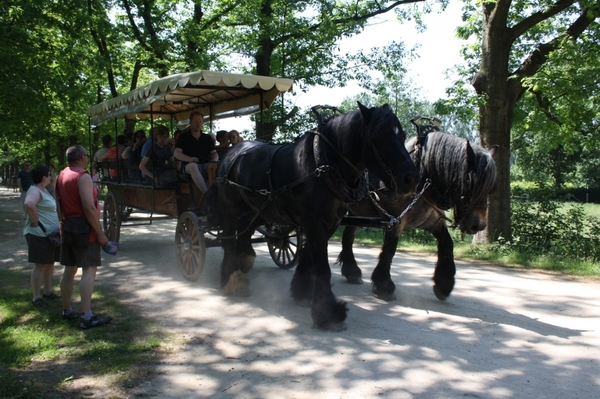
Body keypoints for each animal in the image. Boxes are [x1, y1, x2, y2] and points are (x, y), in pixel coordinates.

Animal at [204, 103, 420, 332]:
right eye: (380, 136)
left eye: (402, 135)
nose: (412, 178)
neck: (323, 164)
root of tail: (232, 153)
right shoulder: (314, 222)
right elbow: (322, 267)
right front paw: (329, 313)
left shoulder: (328, 222)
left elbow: (308, 257)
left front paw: (302, 292)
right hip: (230, 209)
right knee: (229, 239)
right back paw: (232, 279)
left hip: (260, 209)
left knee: (245, 230)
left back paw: (245, 259)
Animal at [338, 126, 496, 302]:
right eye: (469, 181)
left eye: (491, 187)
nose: (478, 225)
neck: (422, 184)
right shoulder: (395, 221)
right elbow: (389, 250)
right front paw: (384, 286)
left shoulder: (434, 223)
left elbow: (447, 244)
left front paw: (444, 283)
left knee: (348, 236)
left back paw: (351, 271)